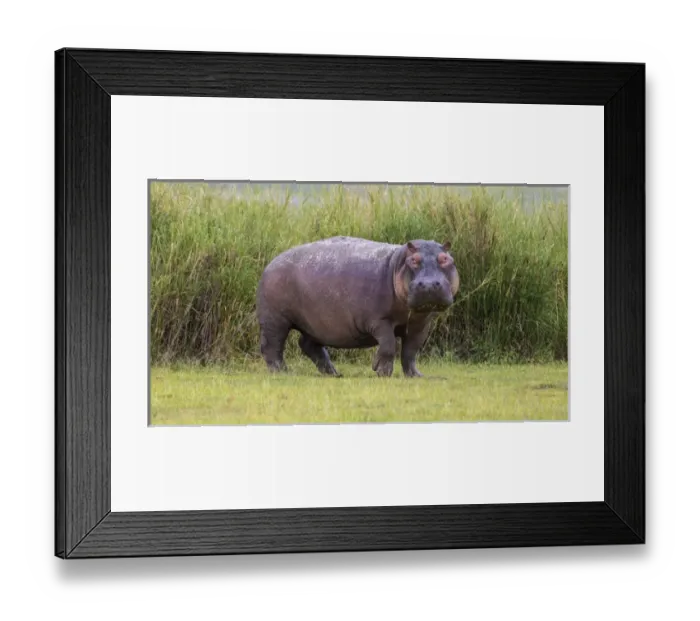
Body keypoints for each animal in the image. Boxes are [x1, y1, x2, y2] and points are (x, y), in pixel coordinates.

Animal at [255, 236, 459, 377]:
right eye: (414, 260)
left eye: (445, 259)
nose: (429, 284)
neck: (397, 263)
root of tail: (272, 262)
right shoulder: (379, 320)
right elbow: (389, 344)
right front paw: (382, 372)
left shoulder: (421, 323)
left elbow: (411, 351)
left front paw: (415, 375)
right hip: (275, 319)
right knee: (272, 344)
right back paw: (282, 371)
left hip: (315, 324)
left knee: (308, 345)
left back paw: (334, 373)